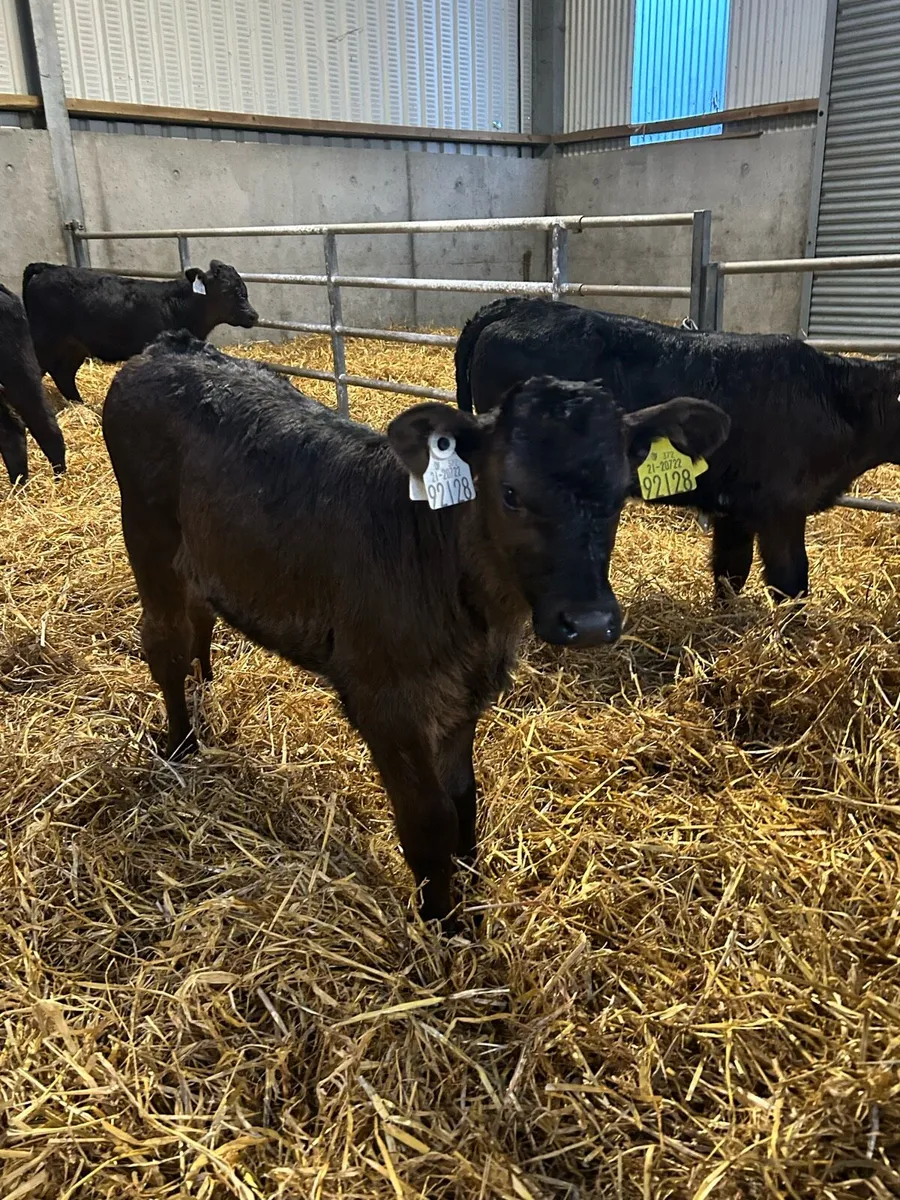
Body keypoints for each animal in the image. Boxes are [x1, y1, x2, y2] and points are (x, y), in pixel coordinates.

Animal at [23, 259, 258, 406]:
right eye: (228, 291)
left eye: (244, 289)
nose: (254, 315)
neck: (179, 307)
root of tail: (47, 268)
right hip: (43, 342)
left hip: (73, 348)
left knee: (63, 374)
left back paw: (81, 405)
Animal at [102, 331, 728, 926]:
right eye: (510, 493)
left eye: (621, 492)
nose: (591, 621)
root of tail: (168, 346)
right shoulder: (384, 700)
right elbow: (428, 821)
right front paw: (440, 924)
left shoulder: (462, 694)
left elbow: (464, 803)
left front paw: (470, 896)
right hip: (148, 536)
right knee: (164, 641)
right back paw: (182, 744)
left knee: (199, 618)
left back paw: (205, 688)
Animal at [455, 297, 900, 602]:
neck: (834, 398)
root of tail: (519, 305)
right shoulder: (783, 509)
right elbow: (790, 583)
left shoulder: (735, 509)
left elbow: (730, 572)